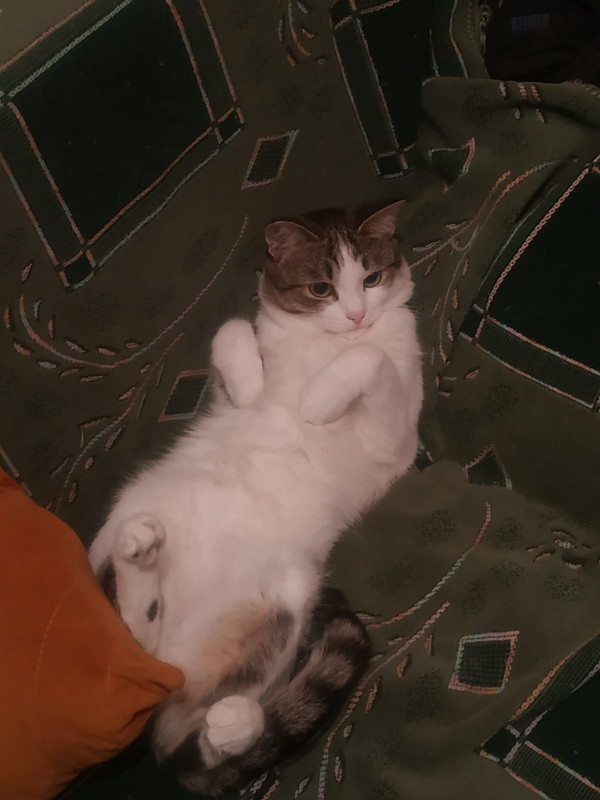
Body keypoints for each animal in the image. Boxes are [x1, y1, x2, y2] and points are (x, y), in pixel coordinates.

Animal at [88, 201, 423, 796]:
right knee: (133, 642)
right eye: (321, 289)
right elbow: (233, 328)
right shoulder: (226, 390)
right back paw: (142, 556)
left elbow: (370, 360)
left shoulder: (397, 439)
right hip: (131, 517)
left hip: (285, 600)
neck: (326, 347)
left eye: (371, 278)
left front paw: (317, 401)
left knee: (184, 723)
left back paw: (233, 725)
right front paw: (253, 382)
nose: (357, 316)